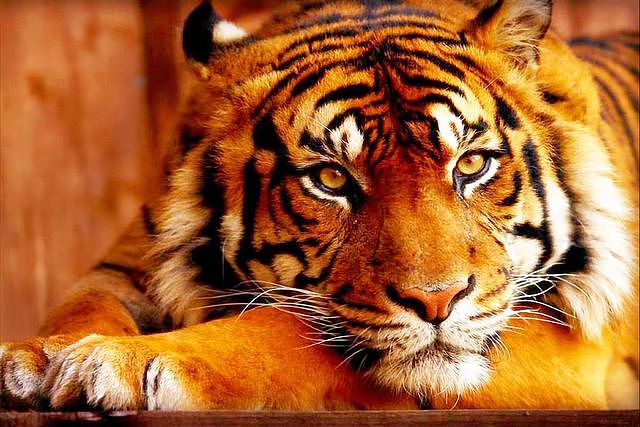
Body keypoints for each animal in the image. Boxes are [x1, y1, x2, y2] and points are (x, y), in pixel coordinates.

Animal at [1, 0, 638, 411]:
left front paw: (116, 363)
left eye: (471, 165)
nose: (437, 302)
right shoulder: (126, 264)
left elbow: (285, 331)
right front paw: (35, 359)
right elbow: (81, 307)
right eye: (332, 178)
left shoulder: (569, 339)